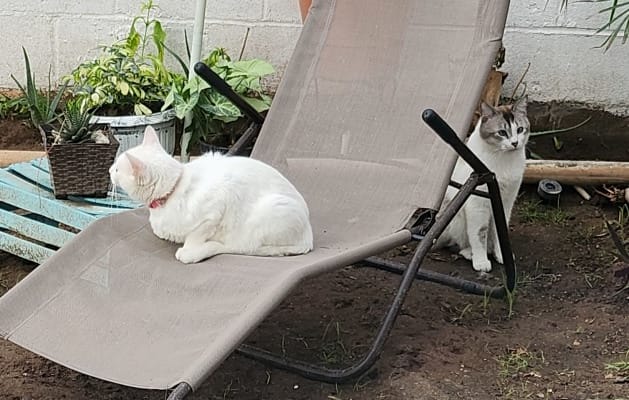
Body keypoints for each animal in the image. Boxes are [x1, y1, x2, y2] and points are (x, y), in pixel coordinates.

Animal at [110, 126, 314, 264]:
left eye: (118, 169)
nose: (110, 170)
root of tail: (309, 237)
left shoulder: (213, 212)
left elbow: (195, 235)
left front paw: (188, 249)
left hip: (270, 211)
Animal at [434, 97, 528, 272]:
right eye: (502, 132)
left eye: (520, 129)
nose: (515, 143)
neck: (503, 159)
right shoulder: (477, 205)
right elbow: (479, 233)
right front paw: (481, 261)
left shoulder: (506, 202)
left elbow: (500, 232)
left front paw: (502, 255)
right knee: (457, 244)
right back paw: (470, 253)